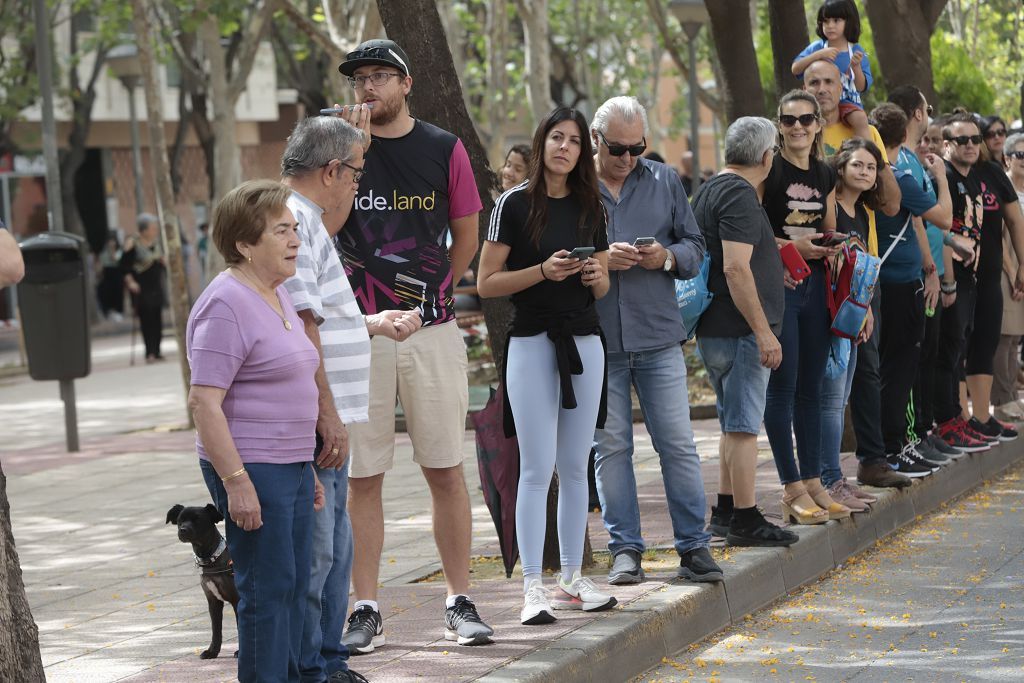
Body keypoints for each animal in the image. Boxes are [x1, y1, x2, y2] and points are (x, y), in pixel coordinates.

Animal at [166, 505, 240, 659]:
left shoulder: (237, 600)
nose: (183, 530)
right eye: (180, 520)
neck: (211, 559)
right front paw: (212, 651)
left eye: (198, 519)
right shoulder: (213, 602)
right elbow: (216, 630)